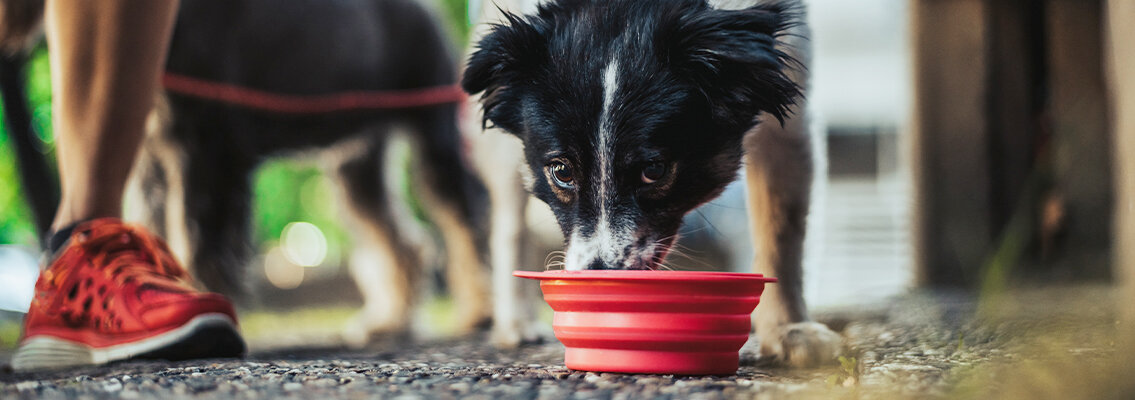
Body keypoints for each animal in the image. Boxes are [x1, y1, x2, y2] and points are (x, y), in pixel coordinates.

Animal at [463, 0, 844, 365]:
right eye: (562, 171)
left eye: (654, 170)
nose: (599, 278)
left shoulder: (791, 109)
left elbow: (782, 233)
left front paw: (787, 330)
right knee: (509, 224)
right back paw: (516, 323)